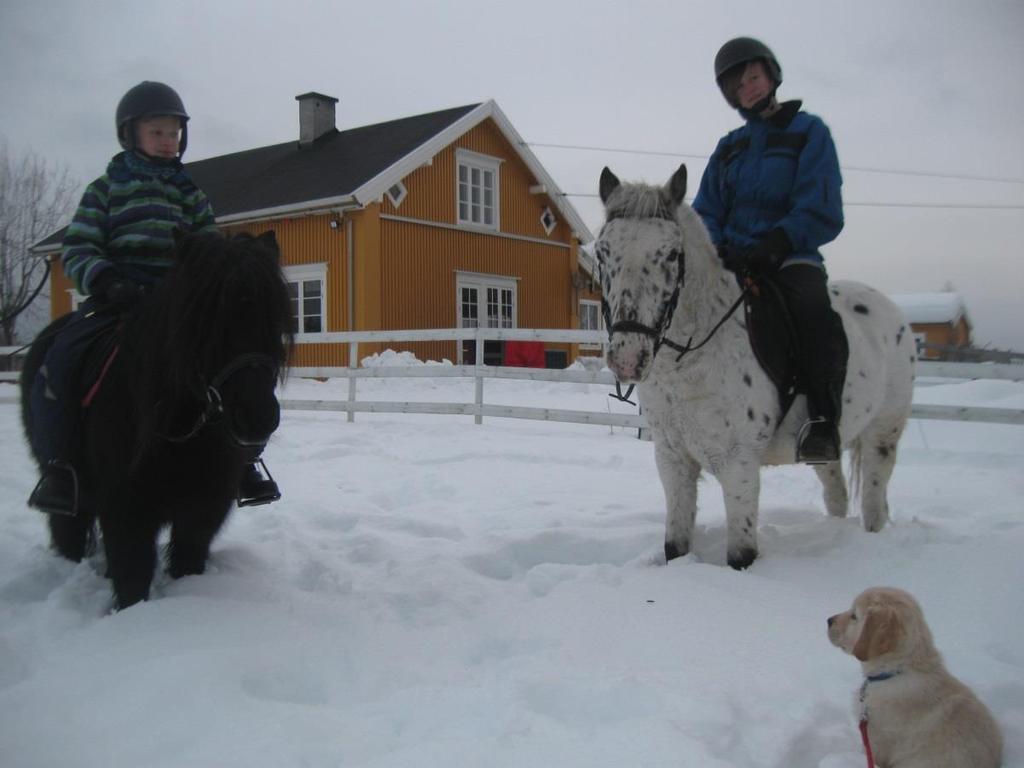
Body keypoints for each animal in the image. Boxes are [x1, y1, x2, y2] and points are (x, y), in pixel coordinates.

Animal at [598, 165, 917, 569]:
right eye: (602, 252)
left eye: (671, 255)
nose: (627, 358)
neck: (690, 364)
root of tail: (890, 309)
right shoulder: (672, 460)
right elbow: (675, 548)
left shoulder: (740, 465)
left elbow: (741, 555)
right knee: (837, 494)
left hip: (882, 433)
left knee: (874, 506)